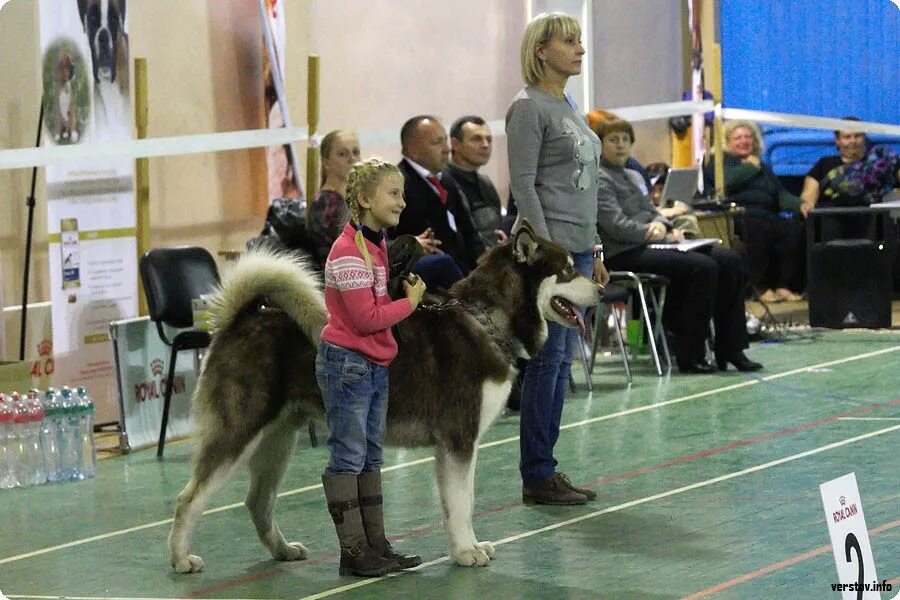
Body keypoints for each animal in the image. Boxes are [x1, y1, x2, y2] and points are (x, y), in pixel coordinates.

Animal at [169, 220, 604, 572]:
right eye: (568, 270)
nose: (601, 287)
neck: (486, 320)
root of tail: (240, 318)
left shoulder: (459, 446)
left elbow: (460, 503)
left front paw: (468, 546)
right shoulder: (458, 442)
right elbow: (460, 505)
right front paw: (466, 552)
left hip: (278, 441)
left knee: (257, 501)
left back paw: (282, 550)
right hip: (238, 434)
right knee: (189, 498)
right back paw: (180, 558)